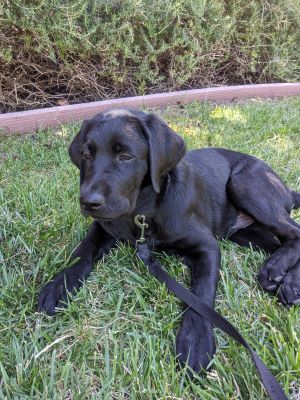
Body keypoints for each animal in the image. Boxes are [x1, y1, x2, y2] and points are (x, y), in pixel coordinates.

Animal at [37, 108, 300, 374]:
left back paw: (283, 277)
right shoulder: (104, 226)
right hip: (243, 232)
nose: (88, 202)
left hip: (244, 184)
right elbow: (83, 250)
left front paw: (196, 340)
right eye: (86, 155)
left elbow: (202, 293)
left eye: (125, 156)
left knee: (294, 232)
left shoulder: (207, 247)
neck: (142, 212)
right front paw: (59, 285)